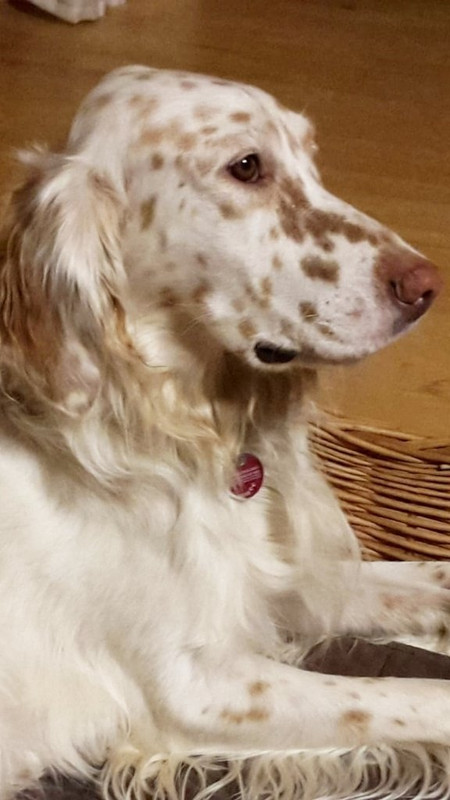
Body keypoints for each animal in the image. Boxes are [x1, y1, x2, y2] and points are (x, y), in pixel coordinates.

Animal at [1, 65, 449, 800]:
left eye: (310, 157)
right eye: (246, 167)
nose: (426, 284)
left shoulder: (285, 589)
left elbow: (425, 578)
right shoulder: (196, 690)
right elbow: (411, 695)